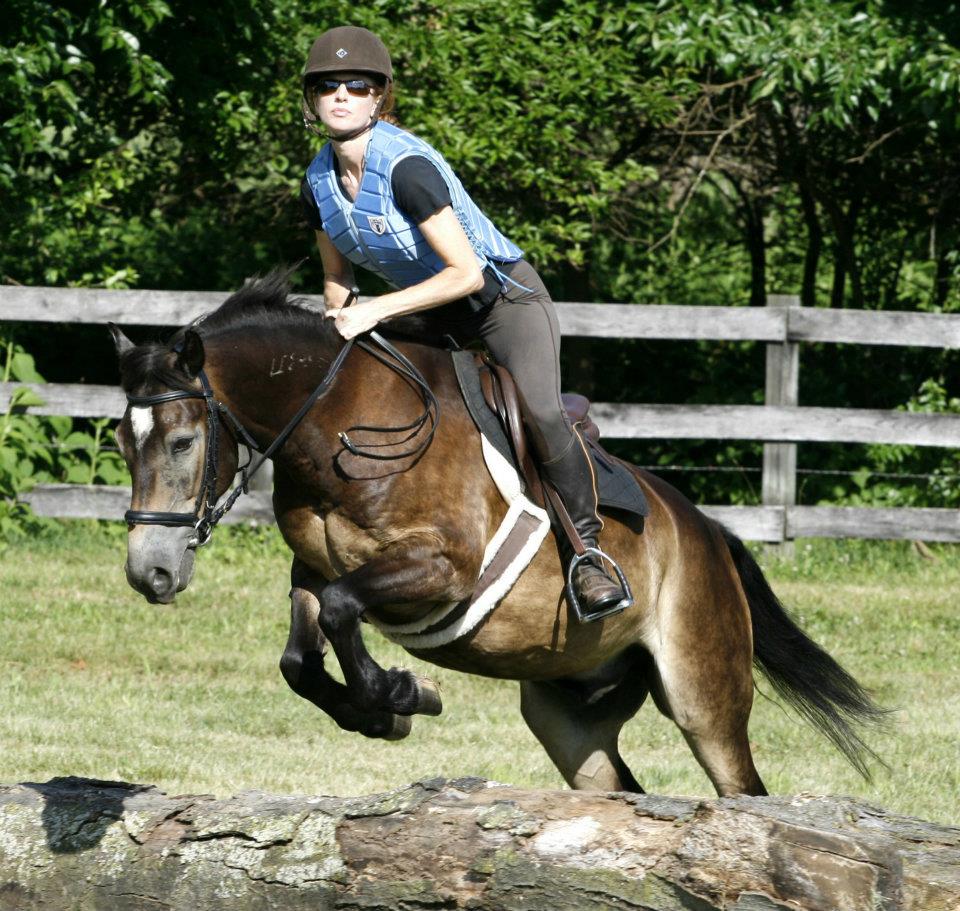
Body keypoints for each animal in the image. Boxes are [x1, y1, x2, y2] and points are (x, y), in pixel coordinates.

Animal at [109, 272, 880, 800]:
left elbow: (343, 608)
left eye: (181, 442)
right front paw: (381, 710)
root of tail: (709, 533)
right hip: (567, 711)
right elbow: (302, 652)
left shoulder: (444, 568)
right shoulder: (313, 569)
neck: (341, 425)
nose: (150, 574)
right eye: (120, 440)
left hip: (703, 695)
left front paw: (401, 695)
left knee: (741, 790)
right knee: (617, 790)